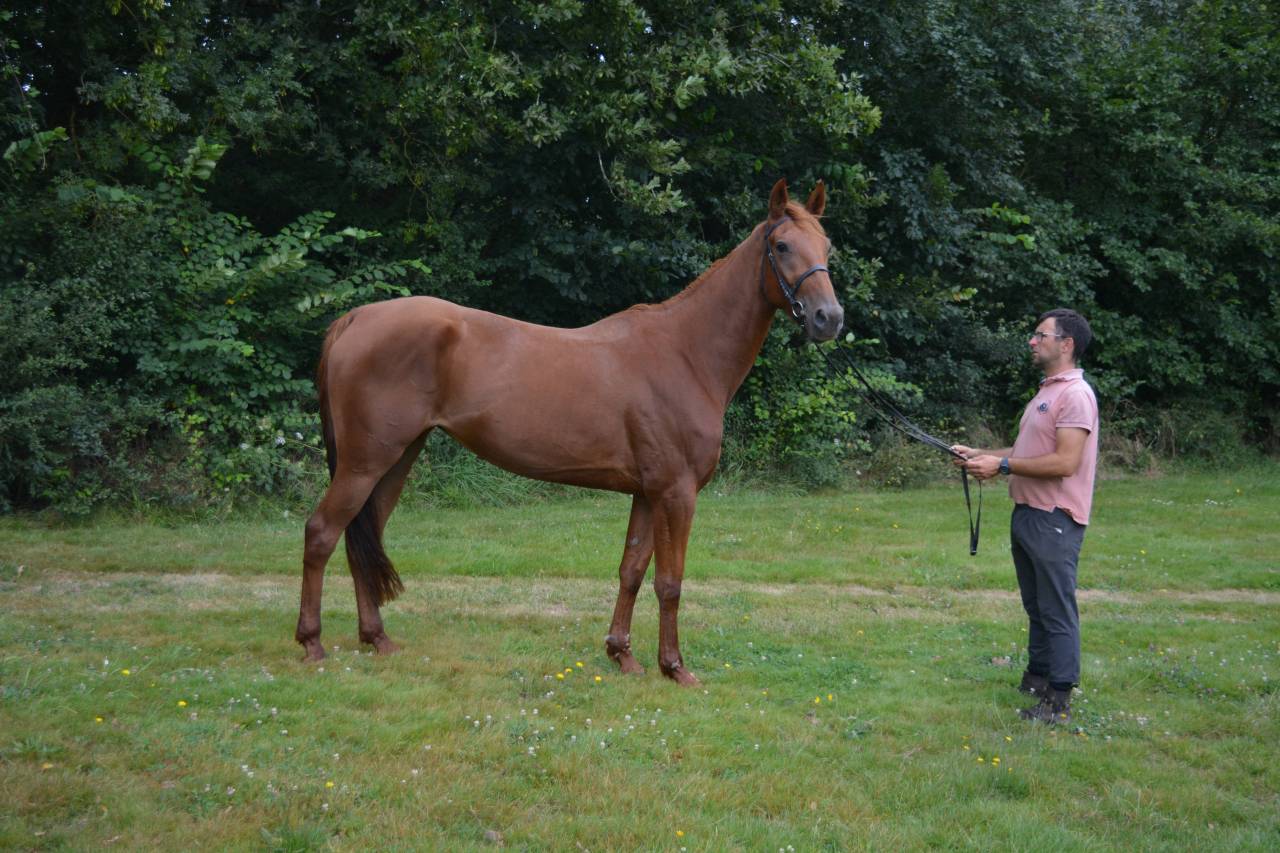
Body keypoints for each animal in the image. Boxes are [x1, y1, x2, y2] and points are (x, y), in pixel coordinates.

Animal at [295, 178, 844, 686]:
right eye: (781, 246)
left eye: (827, 247)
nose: (829, 318)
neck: (685, 354)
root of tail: (355, 319)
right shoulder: (677, 492)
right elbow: (670, 581)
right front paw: (675, 668)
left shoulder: (647, 493)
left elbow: (631, 571)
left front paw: (622, 655)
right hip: (366, 462)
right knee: (322, 532)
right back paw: (312, 643)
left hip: (397, 458)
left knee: (361, 537)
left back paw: (378, 639)